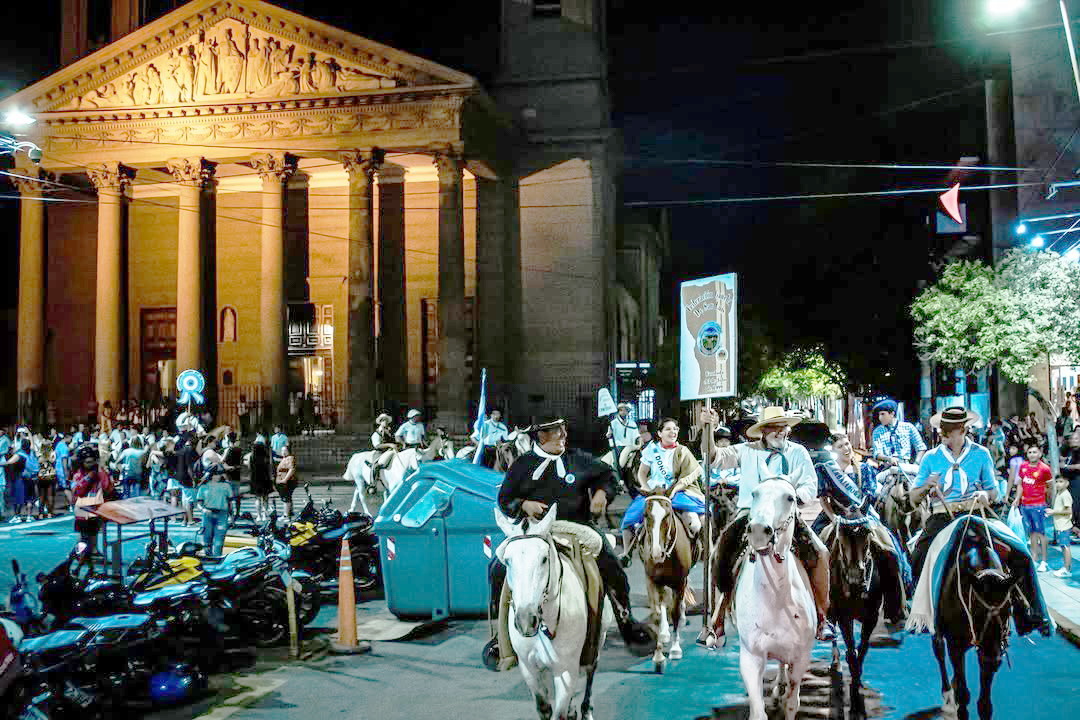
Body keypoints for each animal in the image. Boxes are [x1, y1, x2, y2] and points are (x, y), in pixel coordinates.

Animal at [494, 506, 610, 720]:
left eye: (544, 559)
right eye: (507, 560)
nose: (525, 620)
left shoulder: (565, 670)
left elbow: (560, 713)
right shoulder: (529, 669)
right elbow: (544, 708)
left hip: (599, 638)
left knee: (591, 671)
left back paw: (586, 710)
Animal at [639, 491, 695, 673]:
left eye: (667, 515)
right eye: (646, 515)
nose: (656, 553)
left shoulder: (679, 582)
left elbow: (675, 612)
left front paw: (675, 650)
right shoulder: (651, 580)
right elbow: (657, 614)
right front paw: (658, 657)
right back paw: (663, 633)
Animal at [733, 477, 817, 720]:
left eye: (790, 497)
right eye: (754, 493)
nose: (759, 530)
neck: (775, 600)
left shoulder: (801, 657)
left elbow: (792, 703)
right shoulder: (751, 657)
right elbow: (758, 711)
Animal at [823, 513, 884, 720]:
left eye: (868, 536)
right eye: (840, 540)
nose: (855, 578)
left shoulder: (872, 616)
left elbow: (862, 649)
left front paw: (858, 682)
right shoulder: (844, 616)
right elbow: (851, 651)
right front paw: (855, 700)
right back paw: (835, 662)